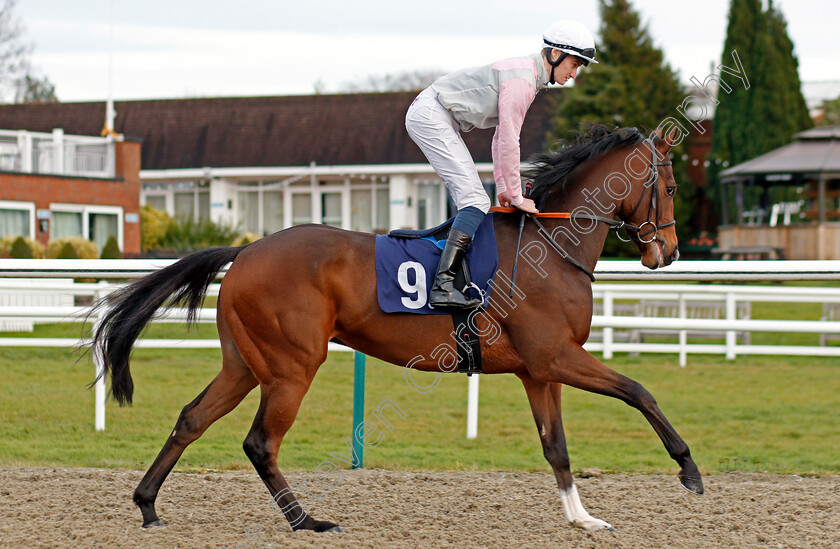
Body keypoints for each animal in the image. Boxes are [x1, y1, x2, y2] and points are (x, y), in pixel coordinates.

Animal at [90, 123, 704, 532]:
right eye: (672, 187)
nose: (669, 252)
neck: (551, 247)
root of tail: (245, 251)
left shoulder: (539, 369)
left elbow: (556, 446)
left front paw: (583, 518)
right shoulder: (556, 356)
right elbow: (639, 391)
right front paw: (689, 470)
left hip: (243, 363)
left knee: (192, 418)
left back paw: (148, 504)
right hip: (292, 367)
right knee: (260, 441)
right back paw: (306, 521)